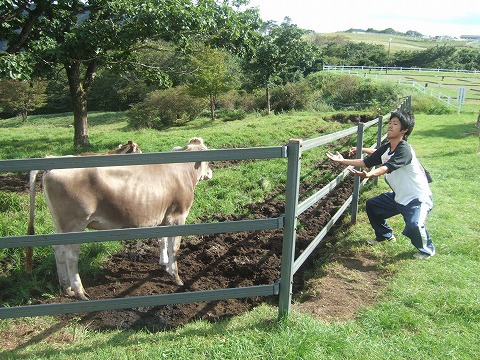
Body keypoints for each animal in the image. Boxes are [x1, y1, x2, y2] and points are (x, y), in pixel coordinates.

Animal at [27, 136, 212, 300]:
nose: (210, 171)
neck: (183, 170)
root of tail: (51, 163)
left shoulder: (163, 217)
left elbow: (162, 241)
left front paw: (164, 264)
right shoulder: (178, 216)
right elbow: (174, 247)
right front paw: (176, 277)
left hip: (60, 225)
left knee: (58, 250)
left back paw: (66, 287)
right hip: (74, 225)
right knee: (71, 256)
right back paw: (79, 291)